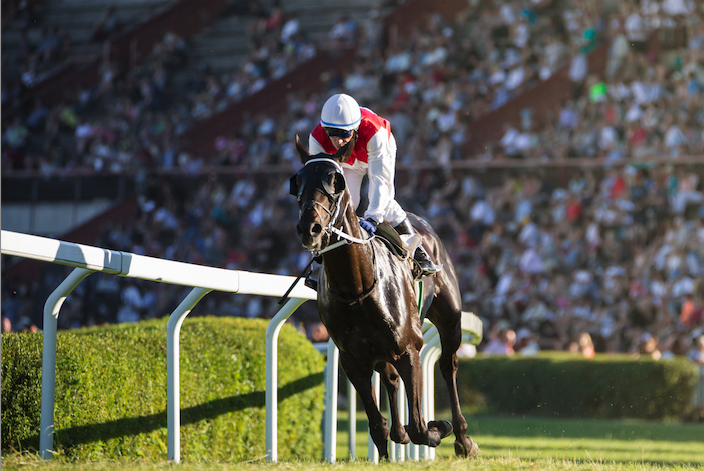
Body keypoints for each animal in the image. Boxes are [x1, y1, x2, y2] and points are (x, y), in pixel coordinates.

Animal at [288, 137, 482, 460]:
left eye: (335, 181)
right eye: (297, 182)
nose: (309, 228)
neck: (357, 288)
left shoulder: (410, 350)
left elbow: (420, 427)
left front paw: (438, 426)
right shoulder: (352, 359)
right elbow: (378, 424)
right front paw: (387, 453)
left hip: (450, 318)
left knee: (448, 366)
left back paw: (463, 438)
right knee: (390, 379)